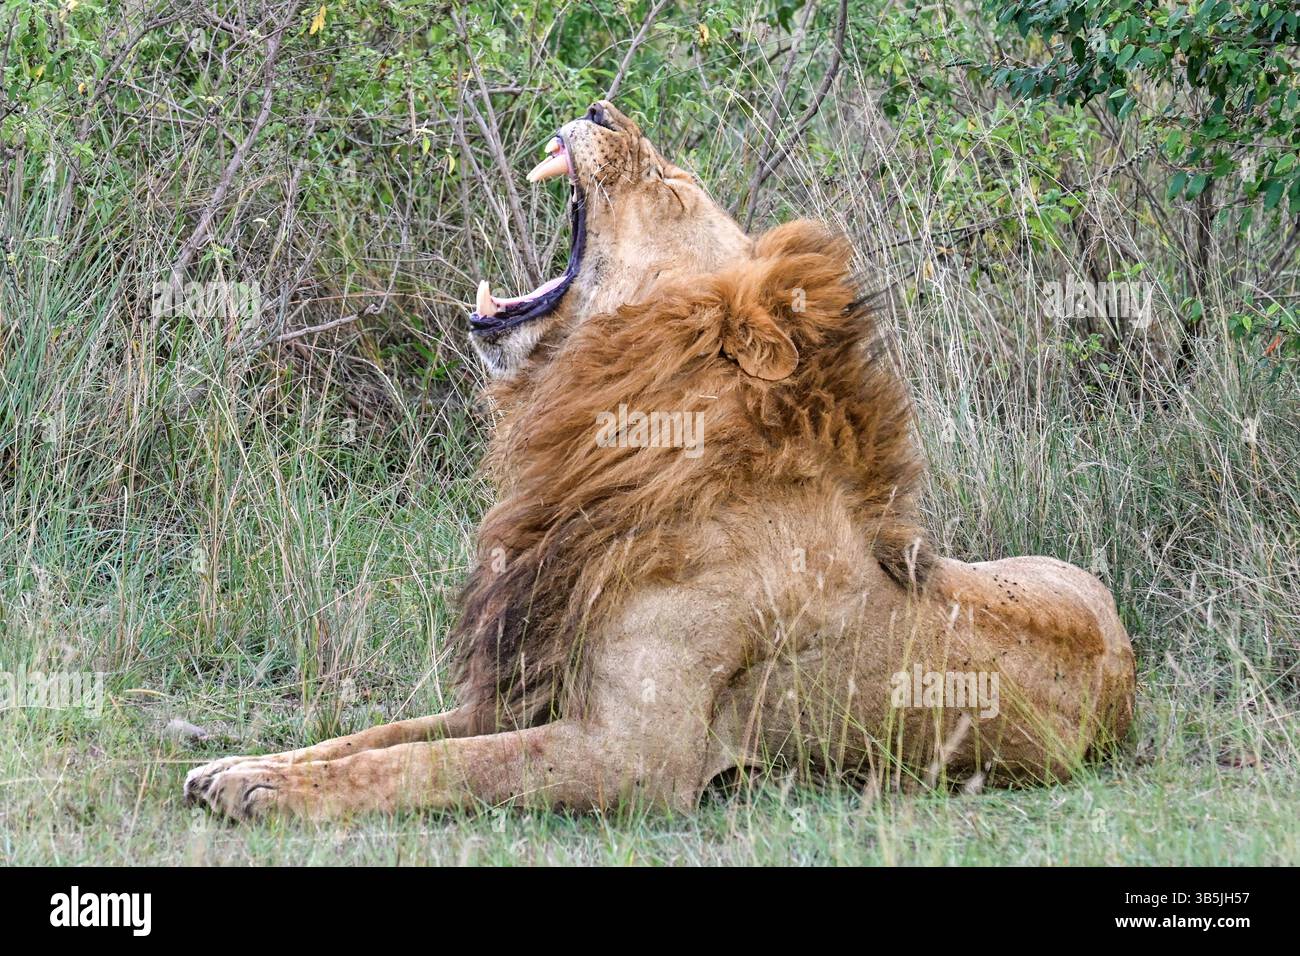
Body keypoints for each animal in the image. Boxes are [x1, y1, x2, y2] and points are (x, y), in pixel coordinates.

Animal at [185, 102, 1135, 820]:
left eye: (671, 187)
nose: (603, 108)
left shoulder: (638, 755)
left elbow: (437, 765)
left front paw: (275, 792)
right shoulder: (526, 688)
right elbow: (381, 734)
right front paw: (245, 765)